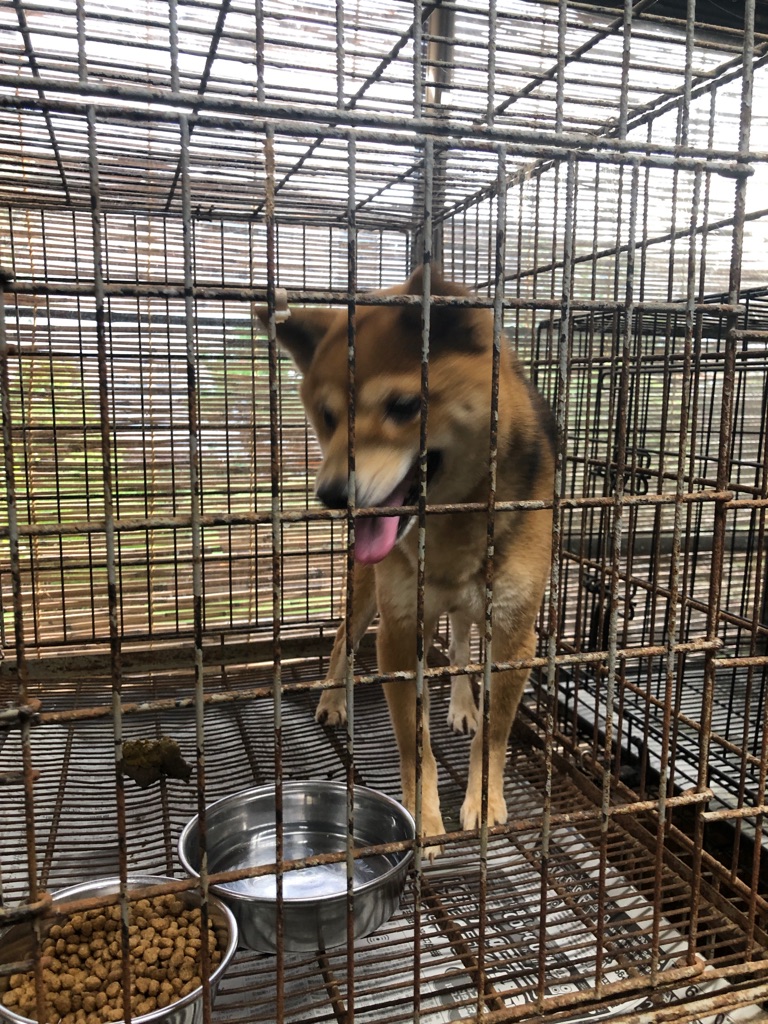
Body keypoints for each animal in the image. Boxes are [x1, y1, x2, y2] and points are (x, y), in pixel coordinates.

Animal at [257, 267, 555, 844]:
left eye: (402, 407)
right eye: (327, 417)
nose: (331, 496)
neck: (450, 522)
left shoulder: (513, 635)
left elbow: (494, 733)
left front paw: (484, 799)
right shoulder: (398, 632)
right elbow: (413, 741)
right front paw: (424, 811)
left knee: (459, 648)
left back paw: (461, 702)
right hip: (366, 593)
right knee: (342, 642)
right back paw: (332, 700)